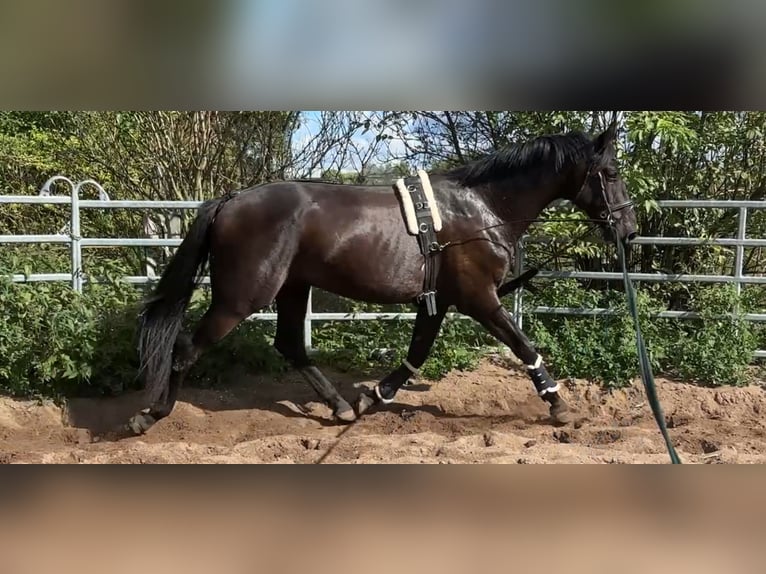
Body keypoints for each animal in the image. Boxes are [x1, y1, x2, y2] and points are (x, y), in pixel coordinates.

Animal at [127, 121, 637, 436]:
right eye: (610, 172)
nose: (629, 230)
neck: (482, 209)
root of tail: (230, 200)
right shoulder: (479, 298)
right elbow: (524, 346)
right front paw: (558, 403)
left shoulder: (438, 300)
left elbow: (417, 354)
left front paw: (374, 396)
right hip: (242, 297)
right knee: (186, 348)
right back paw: (151, 415)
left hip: (293, 287)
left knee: (290, 344)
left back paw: (339, 406)